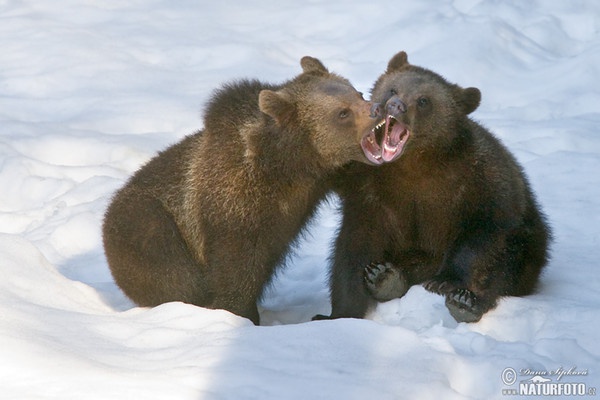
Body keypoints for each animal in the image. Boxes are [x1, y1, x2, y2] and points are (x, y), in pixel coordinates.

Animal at [102, 56, 380, 324]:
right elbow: (235, 266)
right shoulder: (233, 203)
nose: (377, 110)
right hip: (142, 225)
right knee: (169, 266)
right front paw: (237, 312)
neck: (286, 168)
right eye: (342, 113)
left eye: (358, 93)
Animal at [316, 51, 552, 324]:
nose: (395, 105)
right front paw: (339, 312)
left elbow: (480, 235)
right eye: (392, 89)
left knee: (508, 263)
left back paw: (465, 302)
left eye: (423, 100)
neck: (414, 165)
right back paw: (386, 278)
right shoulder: (370, 192)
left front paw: (445, 282)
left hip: (530, 240)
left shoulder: (478, 181)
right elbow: (353, 251)